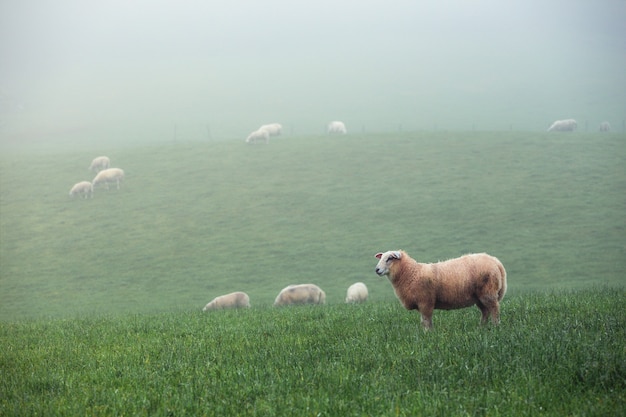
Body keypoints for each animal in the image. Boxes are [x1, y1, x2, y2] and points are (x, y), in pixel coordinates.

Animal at [372, 249, 504, 330]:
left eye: (390, 258)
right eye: (381, 258)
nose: (377, 270)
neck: (412, 273)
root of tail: (495, 261)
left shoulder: (425, 301)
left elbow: (426, 320)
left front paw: (427, 334)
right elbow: (425, 321)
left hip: (488, 292)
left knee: (494, 309)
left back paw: (496, 326)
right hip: (479, 296)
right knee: (485, 311)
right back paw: (481, 327)